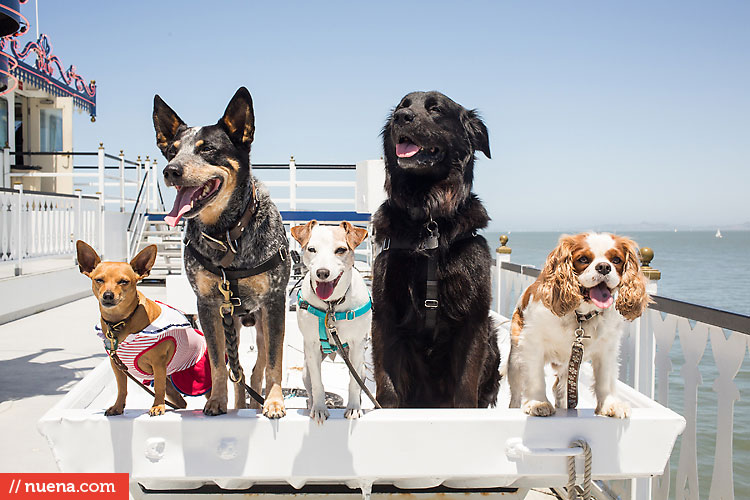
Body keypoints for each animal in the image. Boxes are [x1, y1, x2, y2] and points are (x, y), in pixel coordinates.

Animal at [374, 91, 502, 406]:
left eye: (436, 110)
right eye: (402, 106)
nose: (401, 117)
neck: (429, 221)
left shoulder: (474, 320)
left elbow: (466, 391)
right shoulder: (385, 316)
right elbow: (387, 389)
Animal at [508, 233, 656, 418]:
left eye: (616, 260)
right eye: (583, 259)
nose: (604, 267)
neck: (581, 316)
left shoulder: (607, 348)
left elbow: (605, 379)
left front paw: (610, 404)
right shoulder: (532, 342)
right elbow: (535, 377)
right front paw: (538, 402)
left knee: (560, 388)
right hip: (516, 359)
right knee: (516, 392)